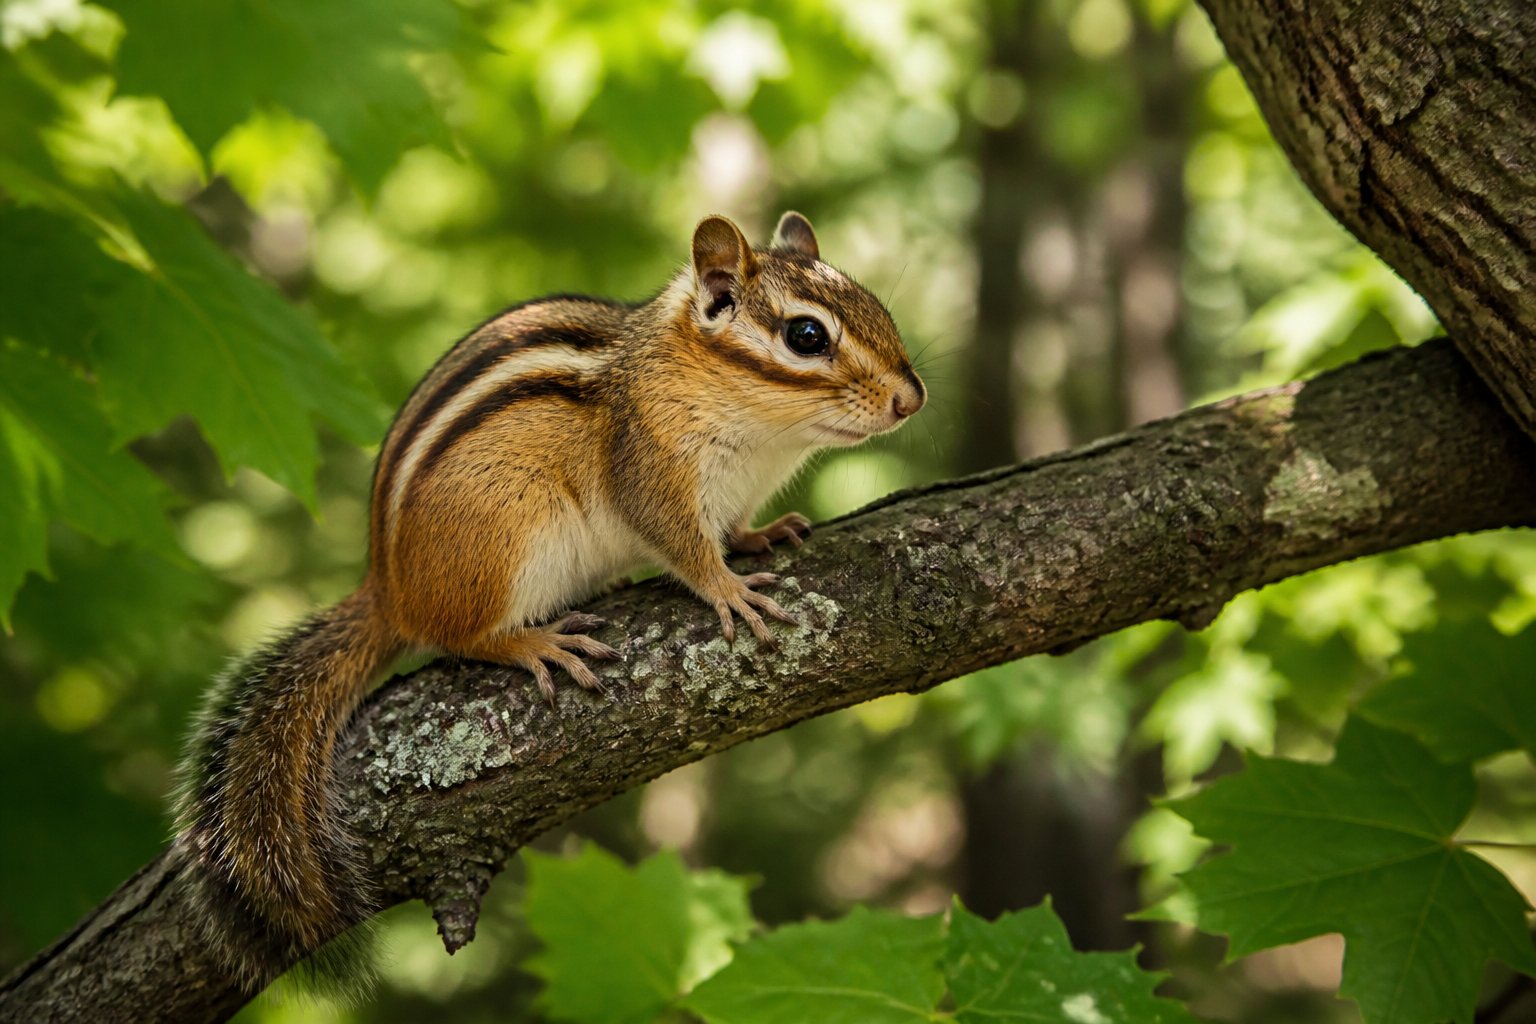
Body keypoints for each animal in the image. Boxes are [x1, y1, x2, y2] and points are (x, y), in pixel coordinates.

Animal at [175, 211, 926, 989]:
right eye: (806, 336)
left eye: (877, 306)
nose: (913, 398)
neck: (757, 430)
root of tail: (388, 589)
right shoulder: (652, 473)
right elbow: (686, 549)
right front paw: (730, 591)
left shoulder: (735, 494)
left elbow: (735, 528)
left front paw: (762, 536)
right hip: (507, 540)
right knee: (463, 634)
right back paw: (537, 642)